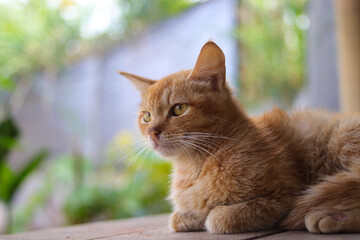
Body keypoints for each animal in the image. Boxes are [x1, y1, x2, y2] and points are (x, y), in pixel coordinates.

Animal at [119, 41, 360, 234]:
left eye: (178, 109)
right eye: (147, 116)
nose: (152, 132)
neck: (197, 165)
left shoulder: (284, 195)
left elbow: (218, 218)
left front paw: (212, 215)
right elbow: (178, 217)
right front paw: (194, 215)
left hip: (342, 139)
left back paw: (328, 216)